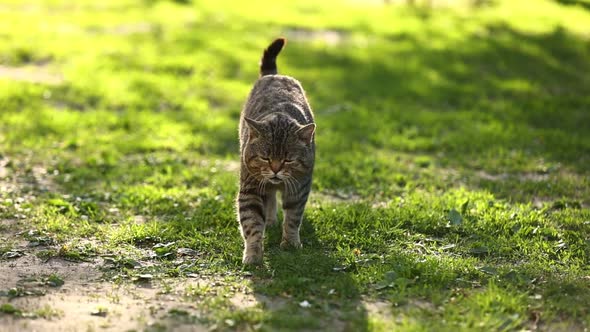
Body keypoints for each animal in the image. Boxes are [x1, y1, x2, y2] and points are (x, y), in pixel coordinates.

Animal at [238, 37, 316, 264]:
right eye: (265, 157)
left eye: (288, 160)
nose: (275, 169)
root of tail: (273, 74)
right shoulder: (250, 187)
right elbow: (252, 223)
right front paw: (253, 254)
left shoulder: (299, 187)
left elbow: (293, 218)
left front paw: (290, 243)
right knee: (270, 197)